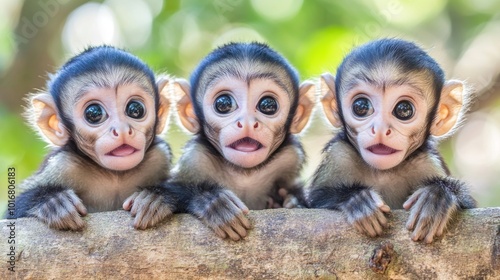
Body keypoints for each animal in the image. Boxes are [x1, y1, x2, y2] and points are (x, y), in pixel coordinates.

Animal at [4, 45, 174, 230]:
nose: (122, 130)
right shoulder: (64, 163)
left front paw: (154, 198)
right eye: (94, 113)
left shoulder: (159, 155)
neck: (115, 176)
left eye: (135, 109)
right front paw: (52, 202)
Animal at [124, 42, 312, 240]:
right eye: (223, 103)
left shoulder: (290, 157)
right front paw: (213, 203)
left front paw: (292, 200)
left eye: (268, 105)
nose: (247, 123)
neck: (245, 175)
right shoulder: (196, 157)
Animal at [308, 38, 476, 243]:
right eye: (360, 106)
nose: (380, 129)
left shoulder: (427, 162)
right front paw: (356, 200)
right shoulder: (339, 154)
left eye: (404, 109)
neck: (383, 173)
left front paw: (437, 197)